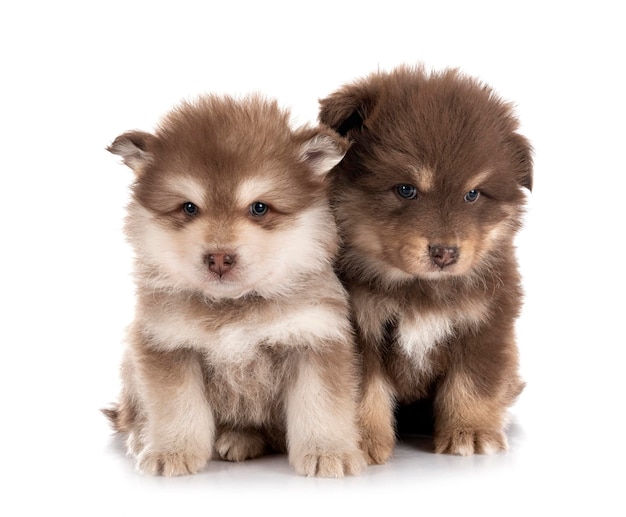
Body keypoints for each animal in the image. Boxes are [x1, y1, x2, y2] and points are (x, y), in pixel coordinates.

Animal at [103, 95, 366, 476]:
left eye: (259, 208)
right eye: (189, 208)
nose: (219, 258)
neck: (234, 307)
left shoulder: (314, 339)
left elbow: (320, 404)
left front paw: (328, 452)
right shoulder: (168, 344)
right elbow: (177, 407)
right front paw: (172, 450)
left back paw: (241, 438)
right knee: (131, 413)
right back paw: (143, 437)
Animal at [316, 66, 532, 462]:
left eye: (472, 194)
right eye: (406, 189)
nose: (445, 252)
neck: (419, 288)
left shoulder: (486, 323)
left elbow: (473, 382)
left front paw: (471, 431)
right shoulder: (358, 328)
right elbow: (361, 391)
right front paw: (360, 441)